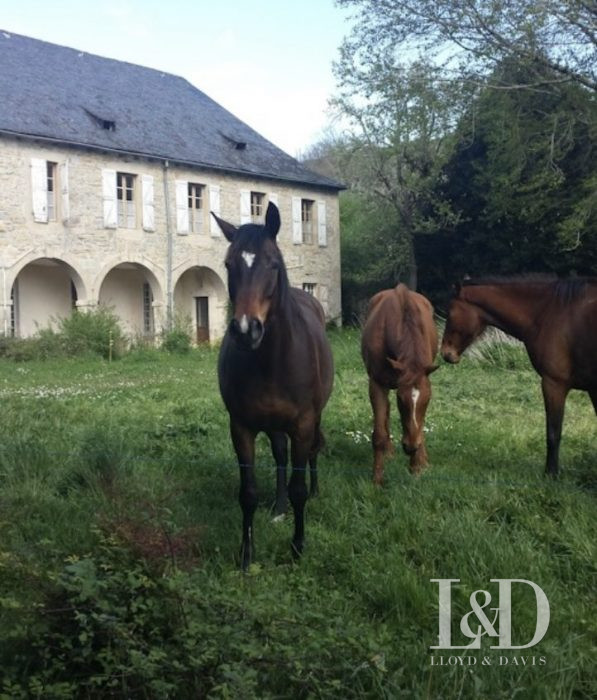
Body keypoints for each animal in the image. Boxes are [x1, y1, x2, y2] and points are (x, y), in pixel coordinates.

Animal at [212, 201, 332, 568]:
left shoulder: (303, 423)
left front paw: (298, 547)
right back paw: (279, 509)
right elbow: (248, 493)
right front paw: (246, 555)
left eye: (273, 264)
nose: (246, 330)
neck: (270, 360)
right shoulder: (241, 427)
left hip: (312, 419)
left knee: (311, 453)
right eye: (229, 264)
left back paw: (316, 491)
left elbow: (298, 488)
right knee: (280, 455)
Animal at [358, 282, 438, 484]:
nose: (410, 447)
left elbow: (420, 425)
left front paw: (417, 467)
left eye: (427, 400)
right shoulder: (377, 383)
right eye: (401, 400)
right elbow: (379, 432)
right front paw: (377, 478)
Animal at [440, 276, 596, 478]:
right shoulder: (593, 388)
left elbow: (553, 432)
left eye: (450, 313)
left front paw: (551, 473)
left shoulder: (554, 384)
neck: (549, 312)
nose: (446, 353)